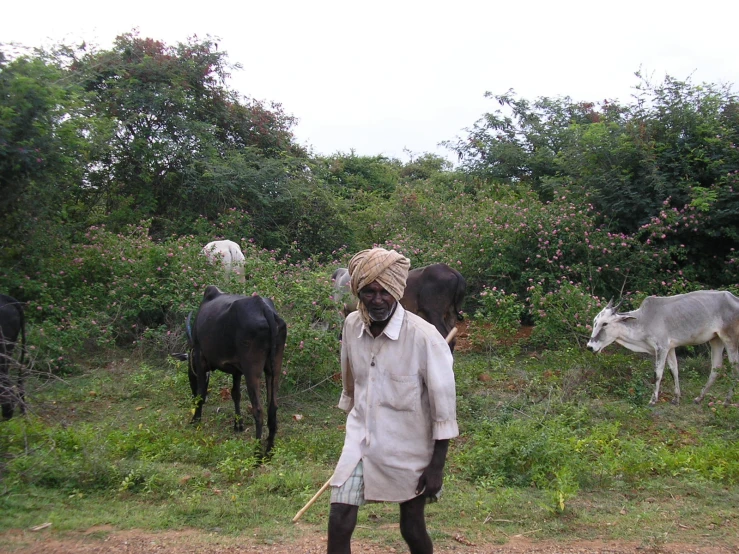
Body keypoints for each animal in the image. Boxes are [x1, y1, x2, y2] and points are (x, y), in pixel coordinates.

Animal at [172, 284, 288, 452]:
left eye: (190, 372)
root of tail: (262, 307)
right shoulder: (236, 370)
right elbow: (235, 394)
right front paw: (238, 425)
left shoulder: (200, 358)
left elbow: (201, 392)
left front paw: (196, 420)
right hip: (274, 368)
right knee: (272, 407)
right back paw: (269, 449)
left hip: (252, 370)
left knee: (258, 409)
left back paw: (257, 451)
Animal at [588, 292, 739, 404]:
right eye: (595, 321)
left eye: (605, 323)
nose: (590, 347)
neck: (644, 321)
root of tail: (734, 298)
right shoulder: (670, 348)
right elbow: (674, 370)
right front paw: (676, 398)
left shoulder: (662, 347)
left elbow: (658, 373)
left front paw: (653, 400)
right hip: (716, 339)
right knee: (716, 367)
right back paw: (699, 398)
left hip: (729, 338)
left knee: (734, 367)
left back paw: (727, 401)